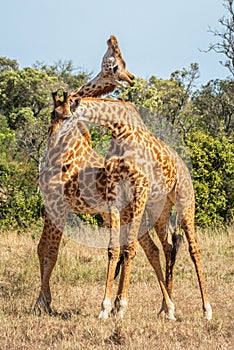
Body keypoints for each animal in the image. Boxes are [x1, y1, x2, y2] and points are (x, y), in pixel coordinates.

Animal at [54, 95, 213, 320]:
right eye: (54, 114)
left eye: (66, 115)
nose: (56, 139)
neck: (119, 129)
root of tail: (183, 166)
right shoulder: (114, 195)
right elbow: (113, 248)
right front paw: (105, 308)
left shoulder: (139, 190)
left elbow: (129, 248)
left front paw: (120, 307)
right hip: (159, 208)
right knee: (168, 245)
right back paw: (166, 309)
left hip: (185, 201)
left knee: (194, 248)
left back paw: (206, 309)